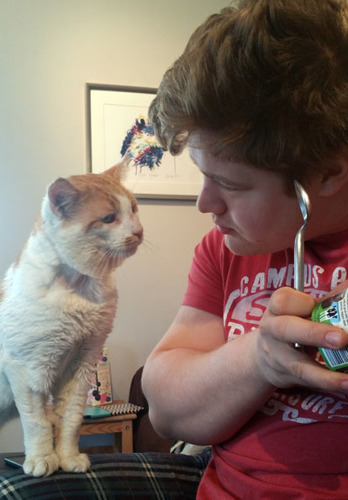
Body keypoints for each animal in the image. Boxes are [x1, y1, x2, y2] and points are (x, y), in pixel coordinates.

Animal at [0, 157, 143, 476]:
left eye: (134, 208)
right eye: (108, 218)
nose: (139, 232)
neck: (79, 288)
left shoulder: (81, 365)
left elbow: (70, 420)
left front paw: (68, 459)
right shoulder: (27, 373)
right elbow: (38, 423)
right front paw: (42, 460)